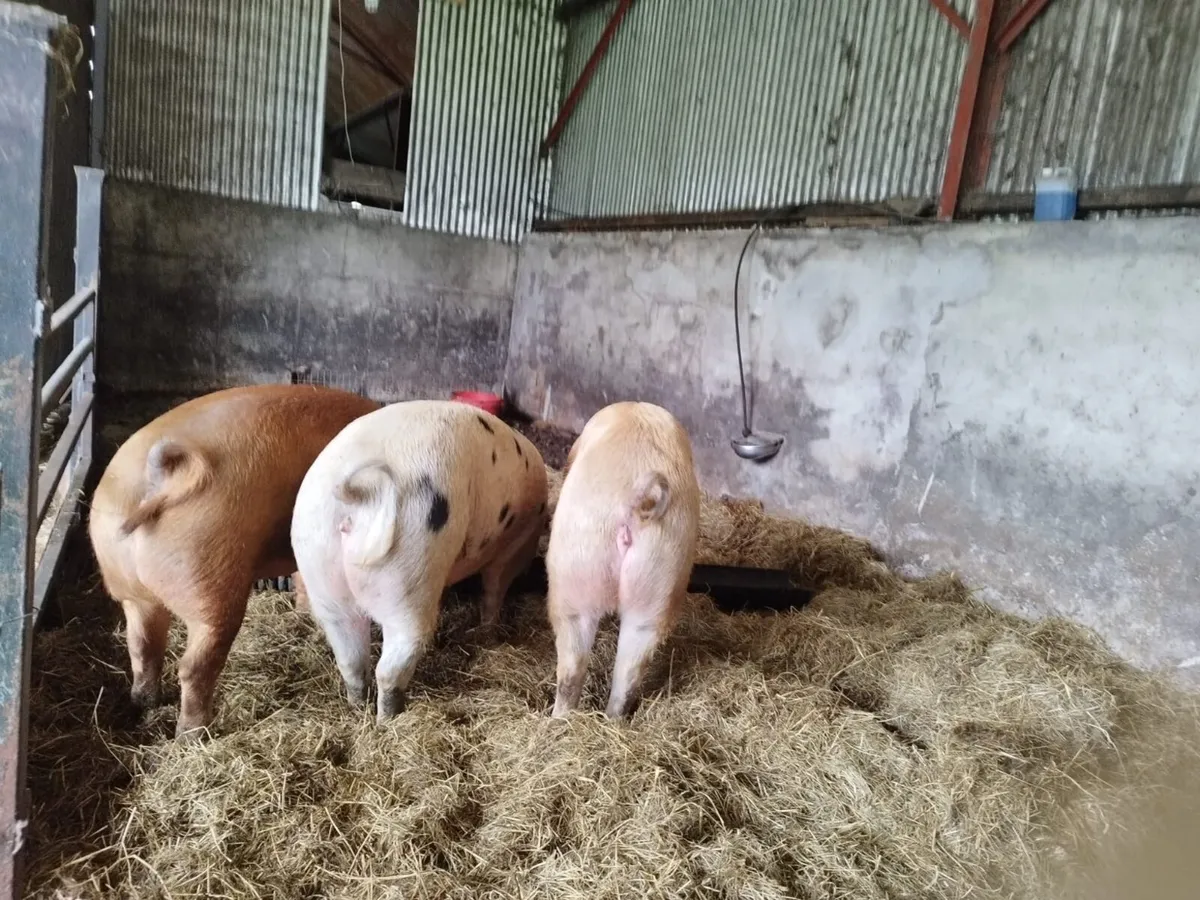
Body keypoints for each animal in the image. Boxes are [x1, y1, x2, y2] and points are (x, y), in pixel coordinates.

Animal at [88, 384, 379, 741]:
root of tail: (161, 478)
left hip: (129, 586)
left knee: (142, 646)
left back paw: (146, 703)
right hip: (210, 578)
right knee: (193, 665)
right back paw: (193, 733)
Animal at [290, 399, 549, 720]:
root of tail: (362, 493)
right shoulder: (507, 550)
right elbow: (493, 591)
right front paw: (489, 635)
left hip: (321, 573)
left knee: (351, 660)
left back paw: (358, 708)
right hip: (409, 568)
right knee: (391, 665)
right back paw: (388, 718)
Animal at [546, 401, 700, 719]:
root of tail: (639, 504)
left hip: (574, 573)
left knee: (571, 669)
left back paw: (556, 720)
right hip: (659, 582)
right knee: (627, 675)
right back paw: (611, 718)